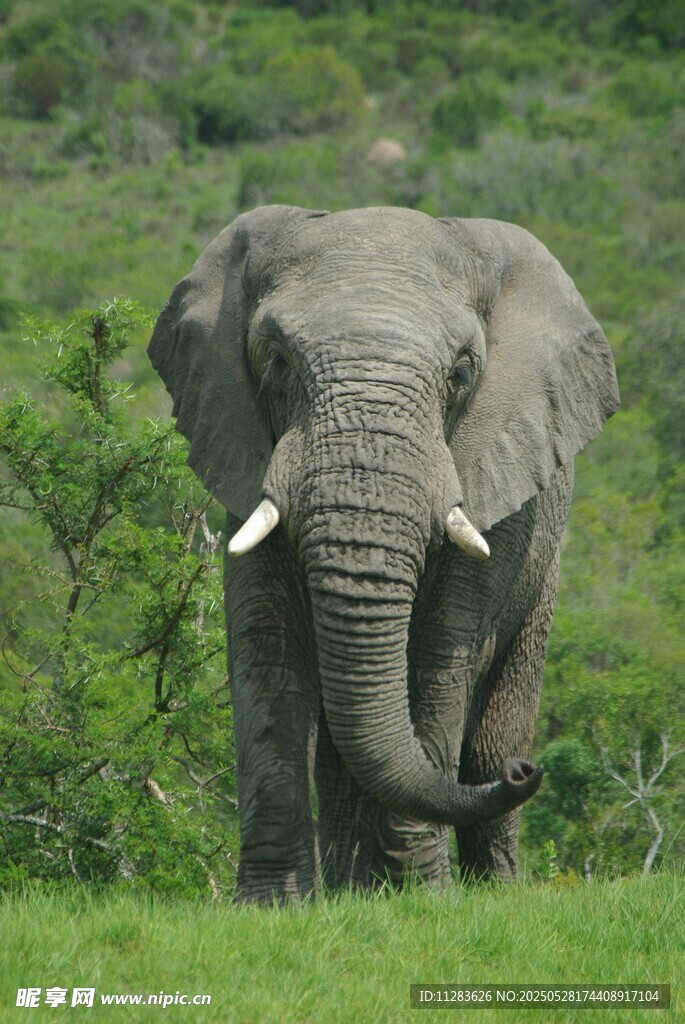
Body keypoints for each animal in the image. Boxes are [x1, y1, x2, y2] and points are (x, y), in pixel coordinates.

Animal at [148, 205, 619, 903]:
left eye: (461, 374)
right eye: (277, 361)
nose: (526, 772)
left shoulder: (495, 489)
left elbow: (437, 659)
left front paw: (422, 898)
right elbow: (268, 653)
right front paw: (274, 906)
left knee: (489, 735)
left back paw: (490, 887)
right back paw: (355, 890)